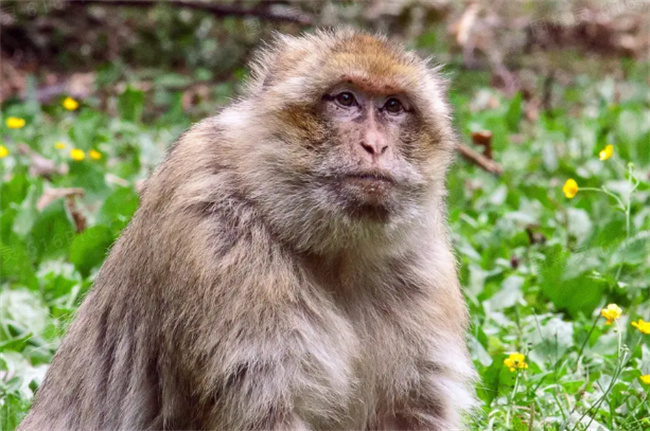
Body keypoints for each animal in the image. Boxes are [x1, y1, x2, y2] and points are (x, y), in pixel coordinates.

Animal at [19, 30, 476, 431]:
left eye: (394, 106)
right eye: (346, 99)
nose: (375, 146)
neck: (333, 253)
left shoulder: (419, 260)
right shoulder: (218, 239)